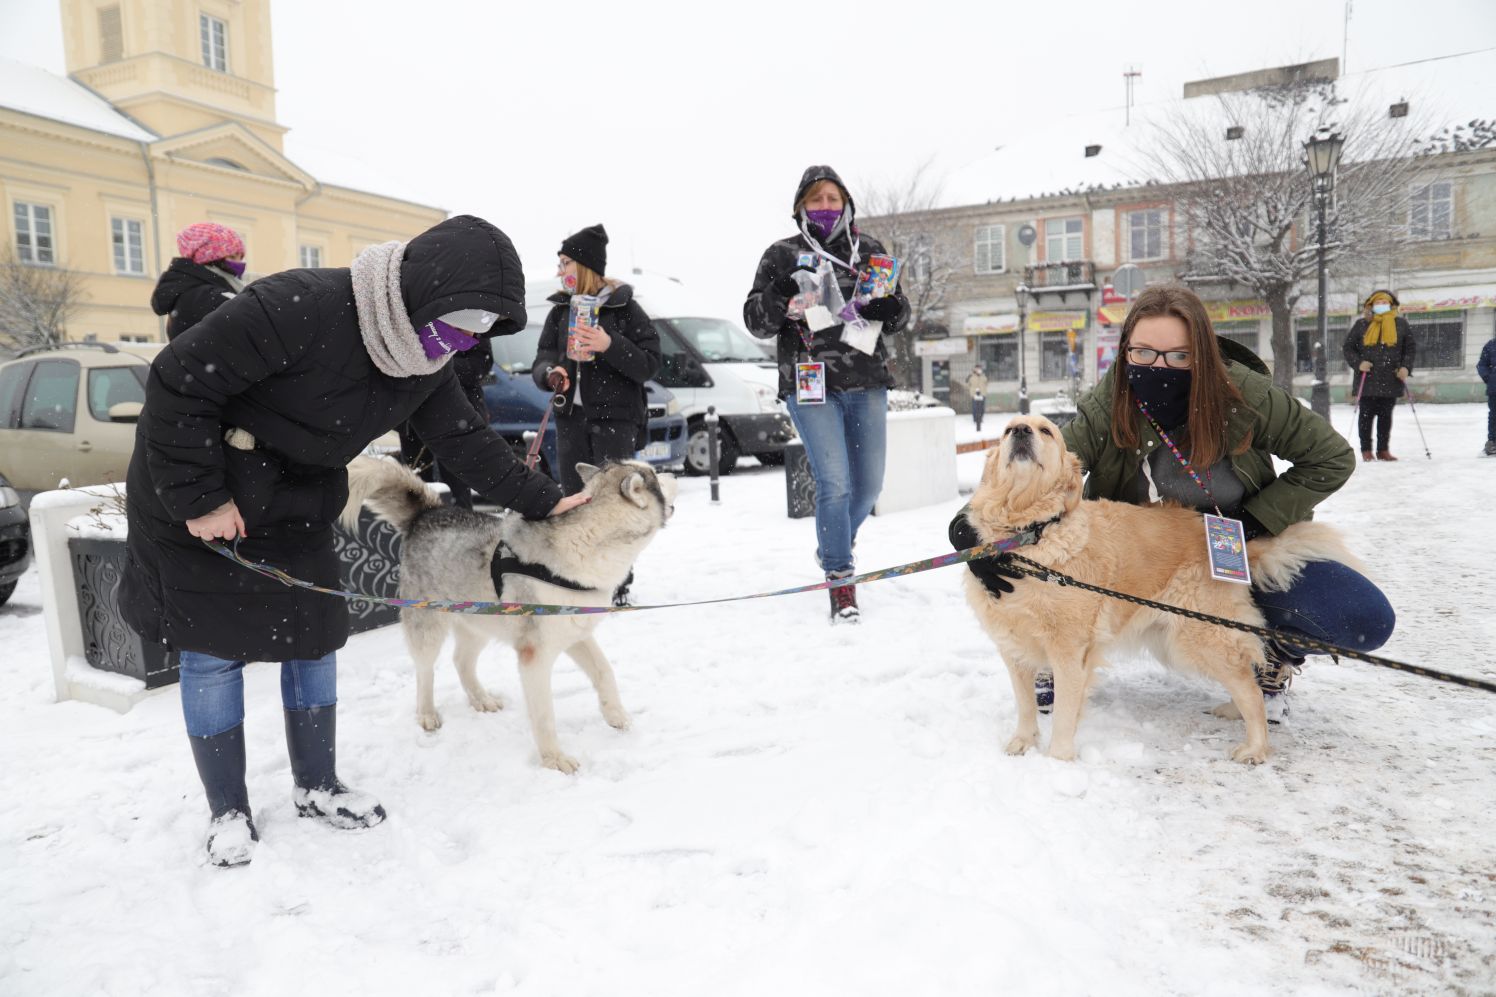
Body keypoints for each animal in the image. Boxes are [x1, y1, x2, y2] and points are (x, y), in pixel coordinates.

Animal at [342, 455, 676, 772]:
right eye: (655, 477)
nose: (672, 473)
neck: (587, 544)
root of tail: (427, 513)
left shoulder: (576, 632)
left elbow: (605, 672)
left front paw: (616, 715)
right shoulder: (535, 655)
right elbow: (544, 714)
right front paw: (553, 760)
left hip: (480, 621)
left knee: (461, 661)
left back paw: (481, 699)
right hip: (428, 626)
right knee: (425, 671)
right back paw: (426, 713)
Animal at [963, 410, 1364, 760]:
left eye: (1045, 431)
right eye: (1008, 430)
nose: (1020, 432)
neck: (1029, 534)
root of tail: (1228, 542)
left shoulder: (1069, 650)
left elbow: (1064, 714)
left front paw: (1058, 761)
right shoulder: (1013, 647)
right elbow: (1026, 704)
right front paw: (1022, 742)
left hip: (1198, 637)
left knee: (1250, 687)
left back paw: (1255, 747)